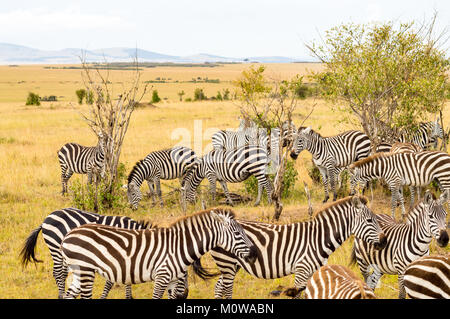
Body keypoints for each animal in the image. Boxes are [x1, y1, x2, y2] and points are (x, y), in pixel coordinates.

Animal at [19, 208, 153, 300]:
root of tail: (46, 219)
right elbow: (111, 282)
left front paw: (129, 296)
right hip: (55, 247)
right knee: (58, 273)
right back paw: (61, 295)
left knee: (62, 273)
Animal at [59, 208, 256, 300]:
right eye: (237, 234)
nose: (254, 253)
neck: (178, 247)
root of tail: (68, 234)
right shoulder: (162, 276)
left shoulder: (172, 280)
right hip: (85, 269)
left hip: (78, 272)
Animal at [207, 195, 386, 300]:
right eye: (370, 221)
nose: (384, 241)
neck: (318, 238)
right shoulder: (301, 270)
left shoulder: (314, 273)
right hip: (227, 263)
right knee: (225, 289)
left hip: (231, 265)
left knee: (218, 287)